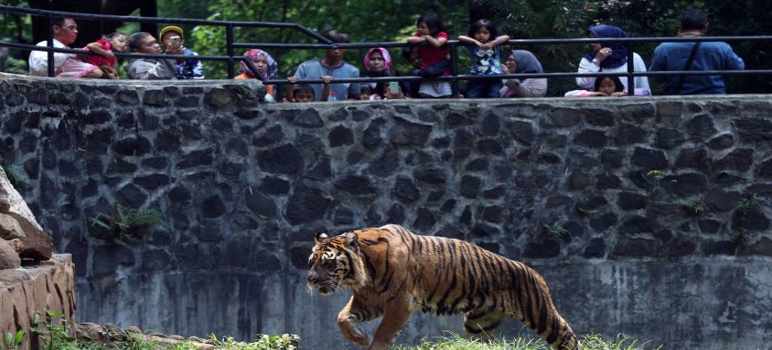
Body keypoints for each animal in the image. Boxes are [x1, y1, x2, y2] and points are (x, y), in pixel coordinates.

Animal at [308, 224, 580, 350]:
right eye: (311, 261)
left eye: (328, 262)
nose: (310, 280)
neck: (364, 272)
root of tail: (533, 270)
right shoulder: (367, 301)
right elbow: (341, 318)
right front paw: (359, 338)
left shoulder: (399, 303)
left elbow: (384, 333)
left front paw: (371, 344)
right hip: (478, 324)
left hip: (539, 313)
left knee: (565, 333)